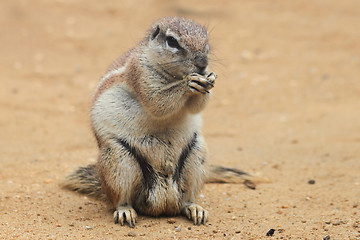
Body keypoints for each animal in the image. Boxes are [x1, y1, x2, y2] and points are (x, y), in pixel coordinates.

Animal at [63, 16, 258, 227]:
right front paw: (188, 83)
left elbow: (195, 107)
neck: (173, 76)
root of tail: (163, 200)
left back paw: (195, 208)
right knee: (122, 198)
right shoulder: (139, 73)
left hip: (196, 153)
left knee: (186, 199)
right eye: (172, 41)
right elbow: (156, 101)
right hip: (117, 159)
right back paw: (125, 211)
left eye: (207, 41)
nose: (202, 63)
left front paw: (209, 78)